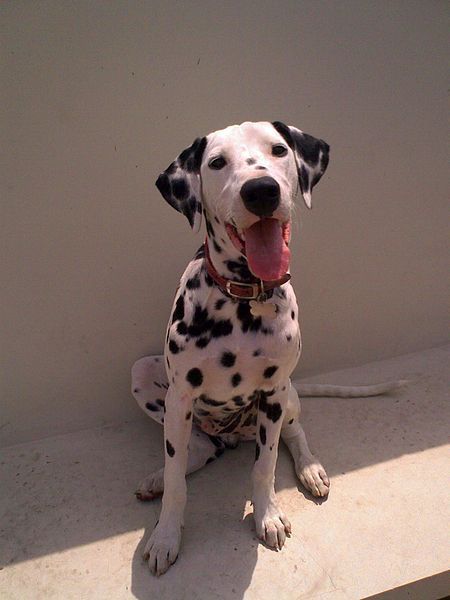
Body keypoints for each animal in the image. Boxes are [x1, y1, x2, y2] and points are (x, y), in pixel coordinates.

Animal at [132, 119, 402, 576]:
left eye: (278, 150)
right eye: (217, 162)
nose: (261, 191)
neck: (244, 297)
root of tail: (231, 436)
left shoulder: (273, 395)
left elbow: (266, 465)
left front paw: (268, 515)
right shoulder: (180, 395)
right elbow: (175, 480)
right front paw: (166, 534)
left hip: (287, 395)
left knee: (295, 432)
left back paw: (310, 469)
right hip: (148, 379)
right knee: (195, 450)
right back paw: (160, 475)